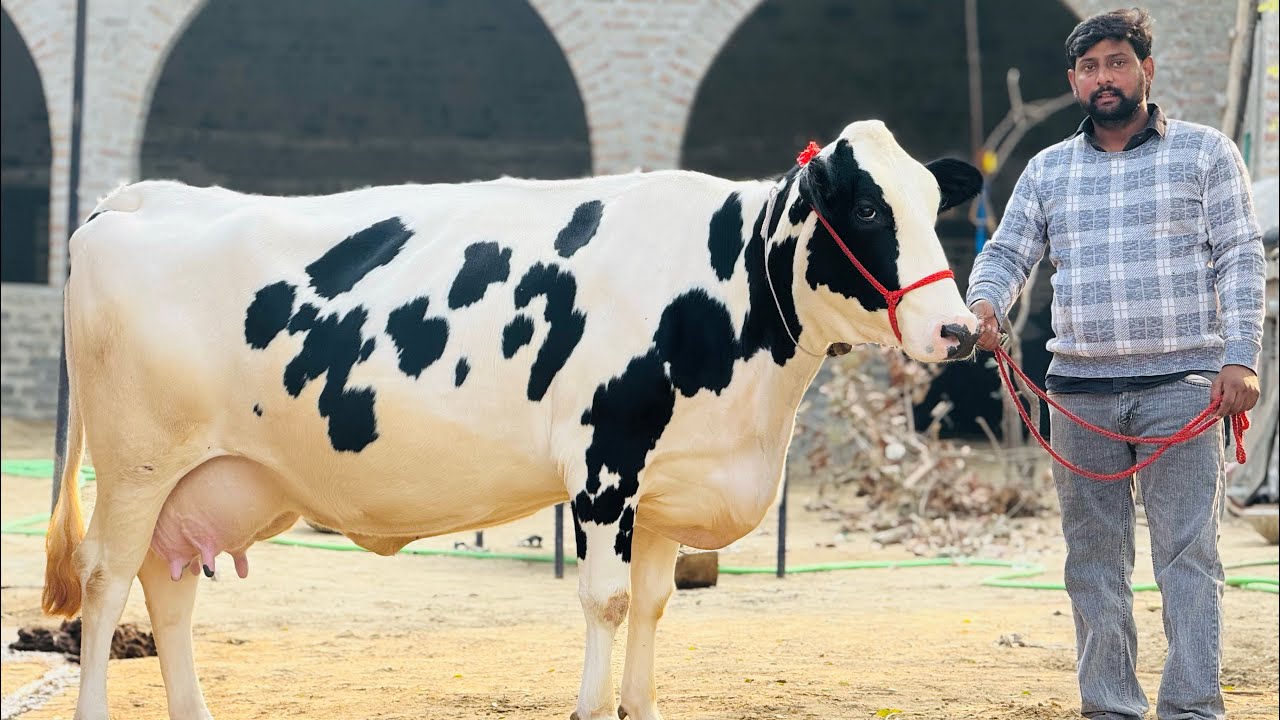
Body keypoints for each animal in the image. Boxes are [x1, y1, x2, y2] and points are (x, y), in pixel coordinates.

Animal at [42, 120, 981, 720]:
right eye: (868, 209)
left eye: (935, 203)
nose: (958, 329)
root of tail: (138, 199)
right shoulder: (605, 468)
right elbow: (606, 602)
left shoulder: (667, 489)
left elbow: (652, 607)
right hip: (134, 465)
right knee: (106, 581)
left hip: (200, 480)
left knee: (169, 589)